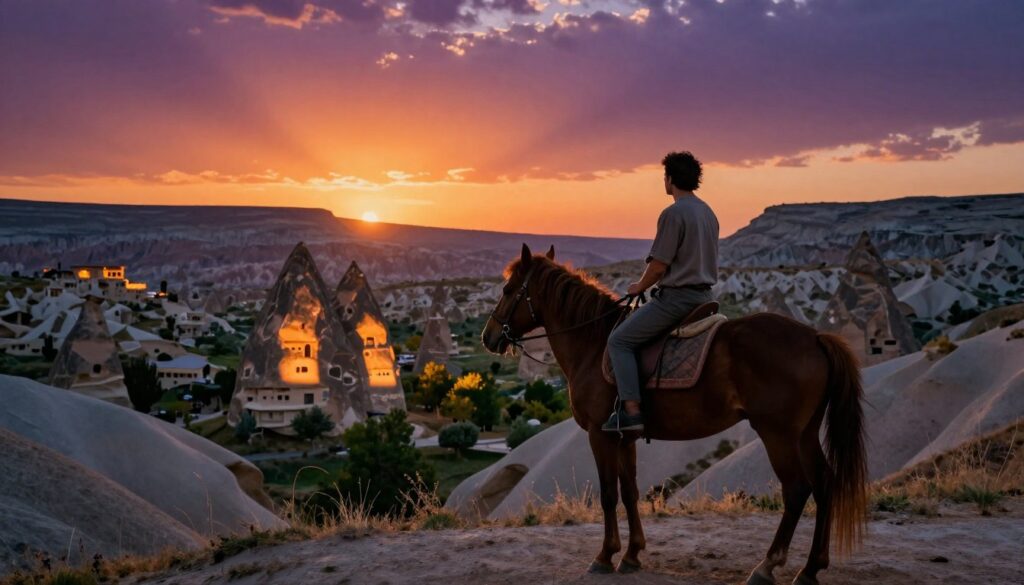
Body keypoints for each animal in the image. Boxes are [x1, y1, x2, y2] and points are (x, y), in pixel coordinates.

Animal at [481, 244, 867, 585]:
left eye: (508, 290)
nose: (488, 337)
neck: (593, 343)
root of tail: (816, 336)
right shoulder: (624, 437)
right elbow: (629, 492)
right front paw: (632, 555)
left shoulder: (599, 434)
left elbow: (607, 495)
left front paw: (605, 556)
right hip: (805, 433)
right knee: (825, 483)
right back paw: (811, 569)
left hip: (778, 434)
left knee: (797, 490)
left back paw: (767, 567)